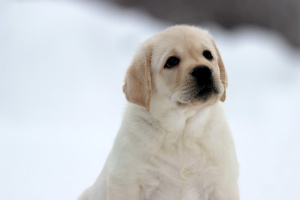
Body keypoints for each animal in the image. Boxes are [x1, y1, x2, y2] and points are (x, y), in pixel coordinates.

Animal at [79, 25, 239, 200]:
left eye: (208, 55)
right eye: (171, 61)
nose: (203, 70)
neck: (182, 133)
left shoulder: (222, 183)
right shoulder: (126, 181)